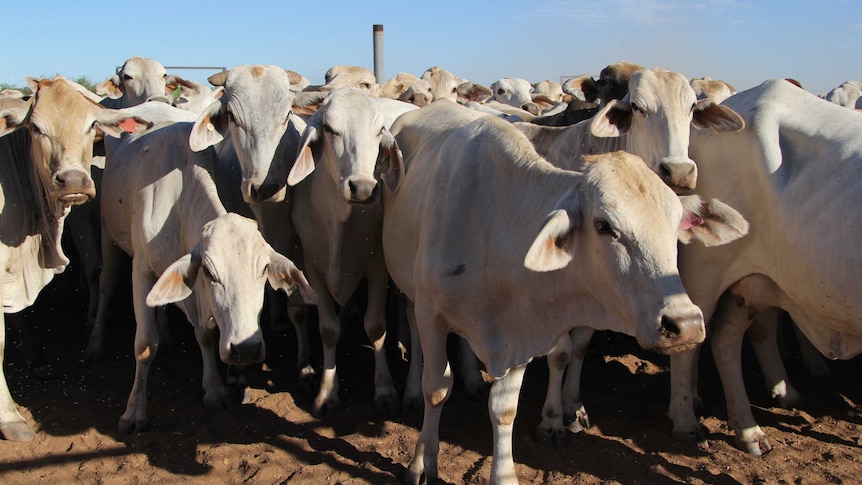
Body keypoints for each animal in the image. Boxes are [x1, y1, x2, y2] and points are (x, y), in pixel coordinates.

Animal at [286, 87, 418, 416]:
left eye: (378, 130)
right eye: (330, 128)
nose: (362, 188)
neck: (339, 221)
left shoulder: (378, 268)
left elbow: (376, 327)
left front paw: (384, 389)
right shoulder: (312, 266)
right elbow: (328, 329)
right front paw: (326, 392)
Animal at [384, 100, 748, 482]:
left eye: (676, 224)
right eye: (603, 226)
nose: (686, 324)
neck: (493, 225)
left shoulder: (522, 328)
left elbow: (504, 408)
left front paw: (505, 473)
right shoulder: (432, 314)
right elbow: (436, 389)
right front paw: (422, 462)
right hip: (407, 290)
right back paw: (411, 389)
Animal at [672, 78, 862, 454]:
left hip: (756, 279)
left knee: (727, 338)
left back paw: (751, 426)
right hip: (707, 271)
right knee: (693, 342)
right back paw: (685, 419)